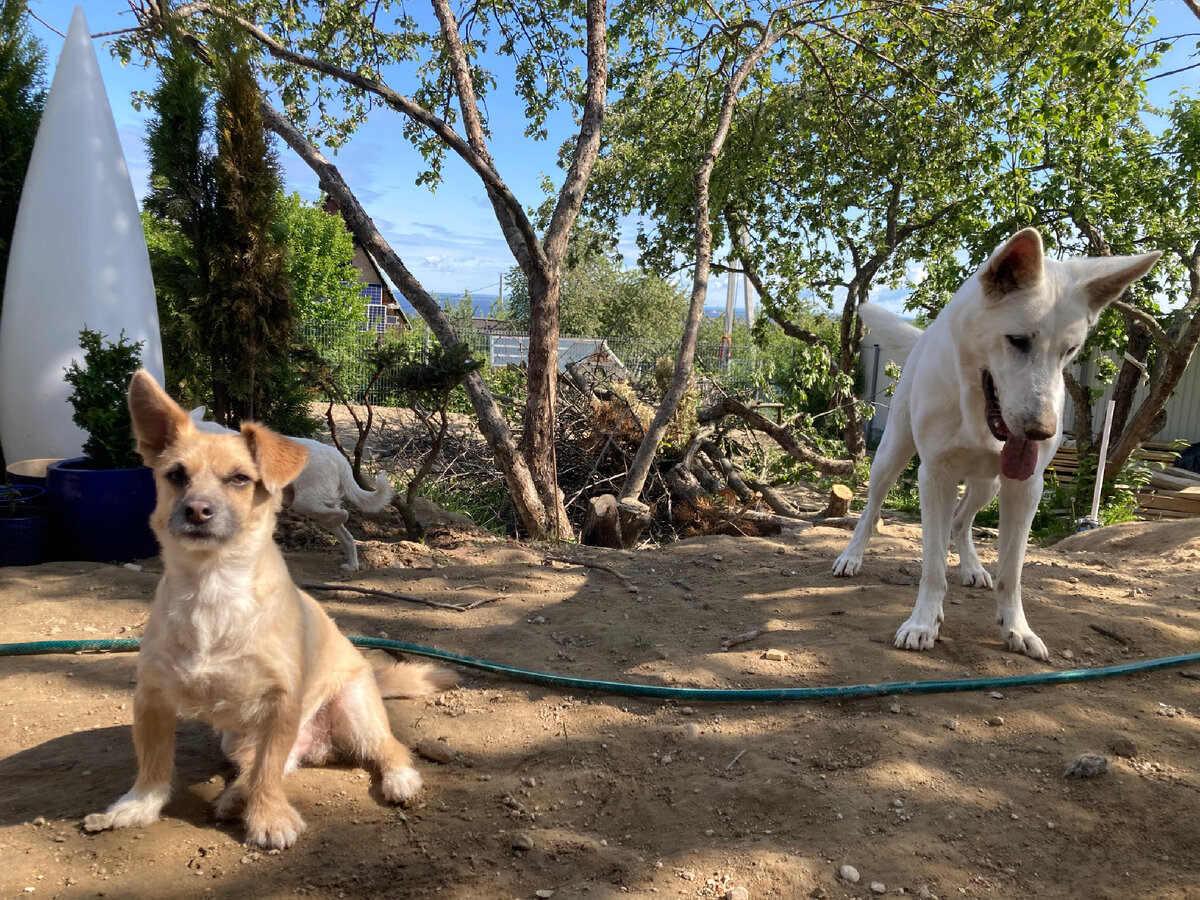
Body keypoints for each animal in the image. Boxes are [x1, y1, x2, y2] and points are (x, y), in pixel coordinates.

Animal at [187, 408, 391, 571]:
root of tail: (341, 460)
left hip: (305, 503)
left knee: (343, 514)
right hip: (315, 508)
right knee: (346, 536)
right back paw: (352, 566)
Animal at [835, 229, 1161, 657]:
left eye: (1070, 351)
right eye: (1018, 340)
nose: (1042, 432)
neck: (977, 416)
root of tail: (923, 338)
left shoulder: (1025, 488)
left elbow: (1012, 573)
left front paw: (1017, 629)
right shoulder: (934, 477)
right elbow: (932, 566)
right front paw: (922, 623)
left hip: (987, 486)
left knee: (961, 521)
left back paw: (973, 567)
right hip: (890, 459)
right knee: (871, 511)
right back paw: (851, 557)